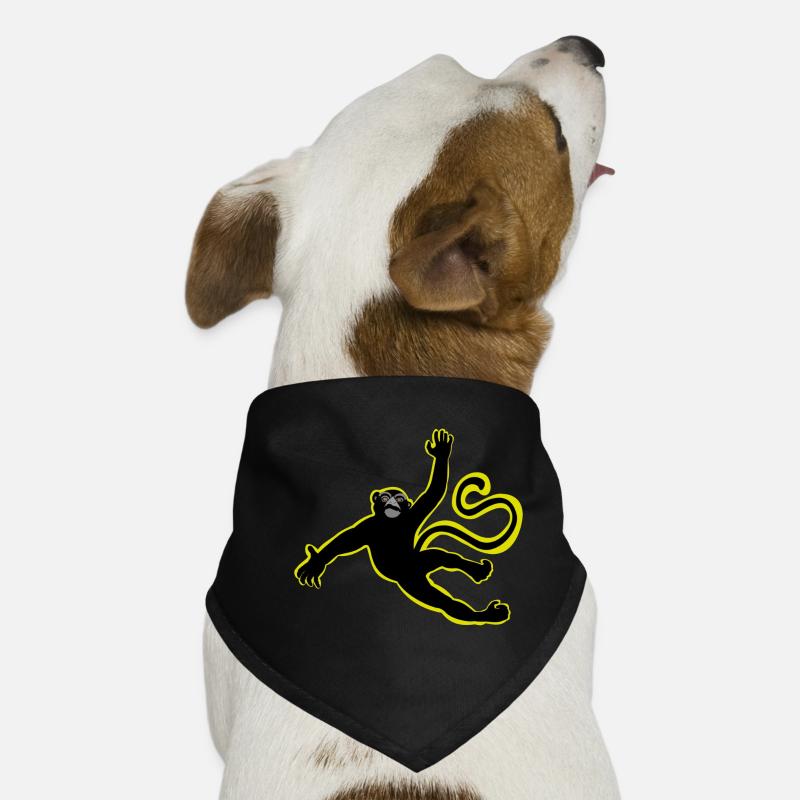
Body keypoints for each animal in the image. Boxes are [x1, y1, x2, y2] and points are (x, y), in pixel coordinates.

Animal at [294, 428, 523, 625]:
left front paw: (441, 454)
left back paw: (480, 583)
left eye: (399, 499)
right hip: (415, 580)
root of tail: (418, 570)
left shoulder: (410, 517)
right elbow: (344, 541)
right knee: (444, 596)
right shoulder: (369, 526)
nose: (391, 504)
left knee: (445, 565)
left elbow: (435, 491)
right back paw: (483, 597)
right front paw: (316, 563)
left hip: (420, 565)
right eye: (384, 497)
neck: (392, 525)